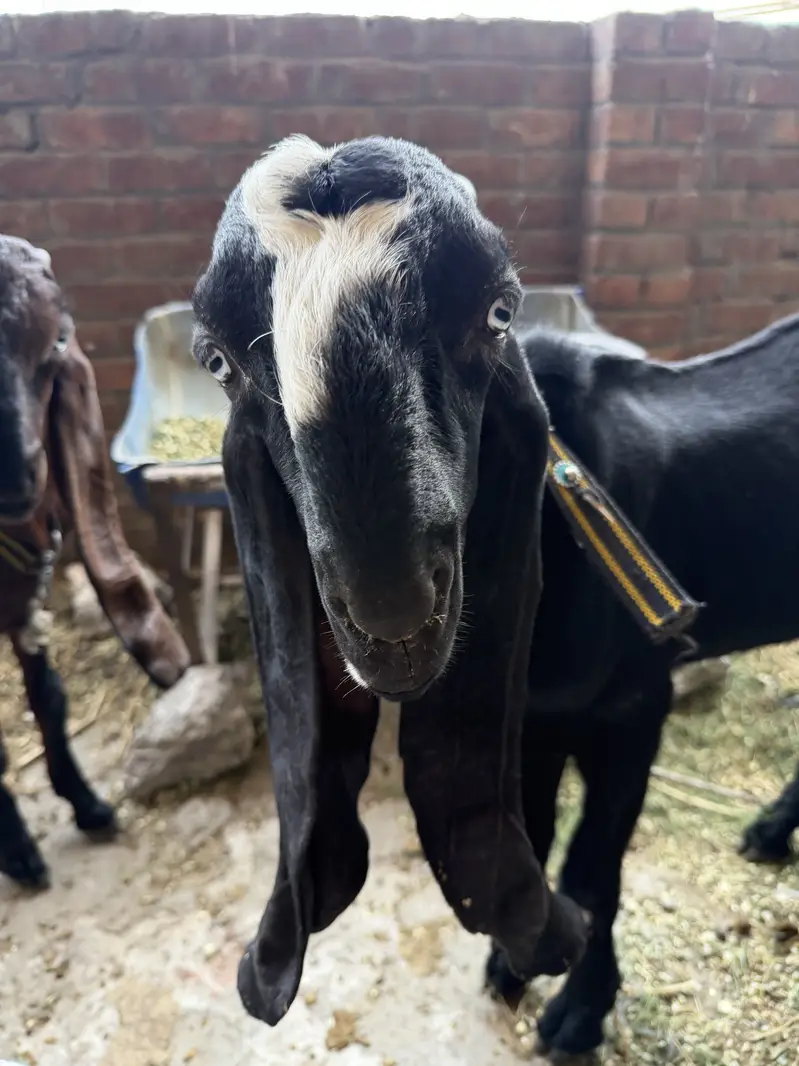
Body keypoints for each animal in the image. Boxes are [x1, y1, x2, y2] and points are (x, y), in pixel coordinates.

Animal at [0, 235, 190, 890]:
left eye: (59, 340)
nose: (16, 474)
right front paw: (19, 850)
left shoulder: (23, 602)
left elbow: (50, 698)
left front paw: (87, 804)